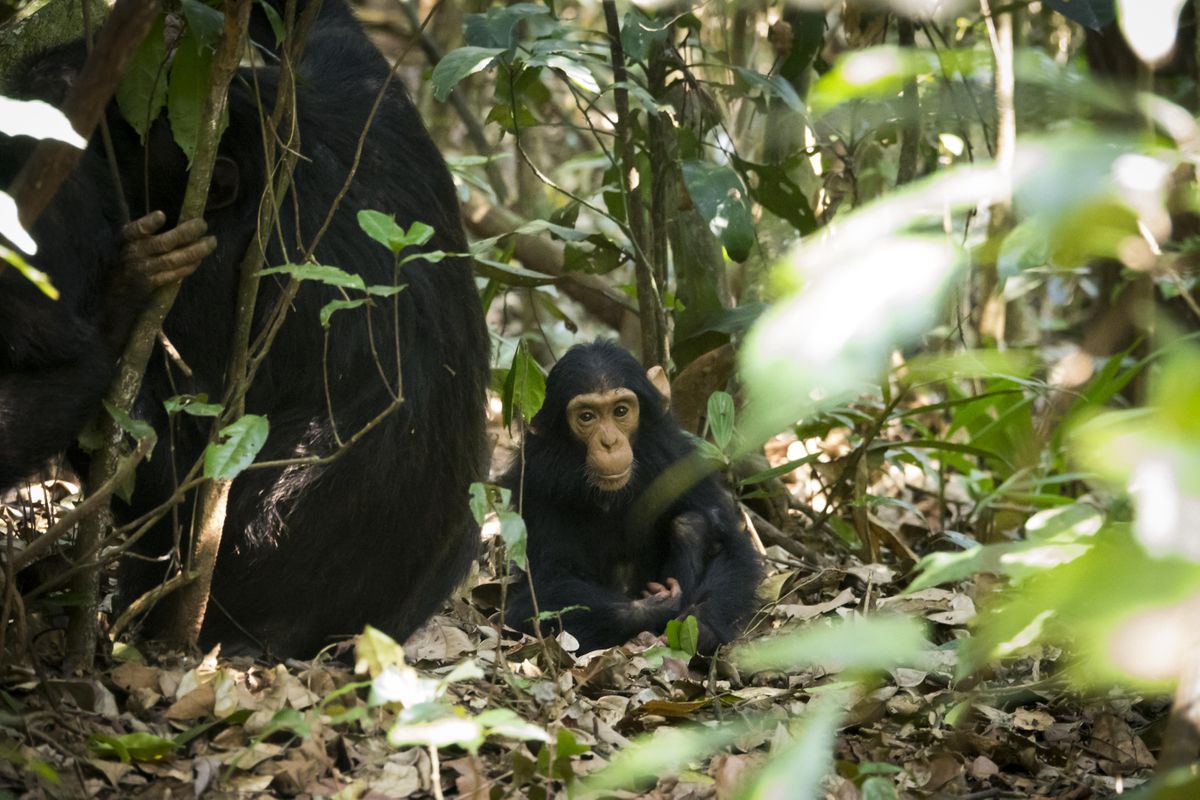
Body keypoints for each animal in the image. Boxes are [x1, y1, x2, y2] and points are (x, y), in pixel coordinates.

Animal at [1, 0, 487, 662]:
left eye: (116, 149)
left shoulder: (224, 274)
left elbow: (169, 464)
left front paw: (121, 293)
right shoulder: (363, 91)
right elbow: (321, 22)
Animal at [504, 340, 763, 652]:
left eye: (620, 411)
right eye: (587, 416)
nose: (609, 442)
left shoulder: (676, 459)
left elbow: (730, 548)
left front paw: (699, 625)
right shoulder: (535, 480)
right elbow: (544, 585)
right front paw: (657, 606)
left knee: (691, 522)